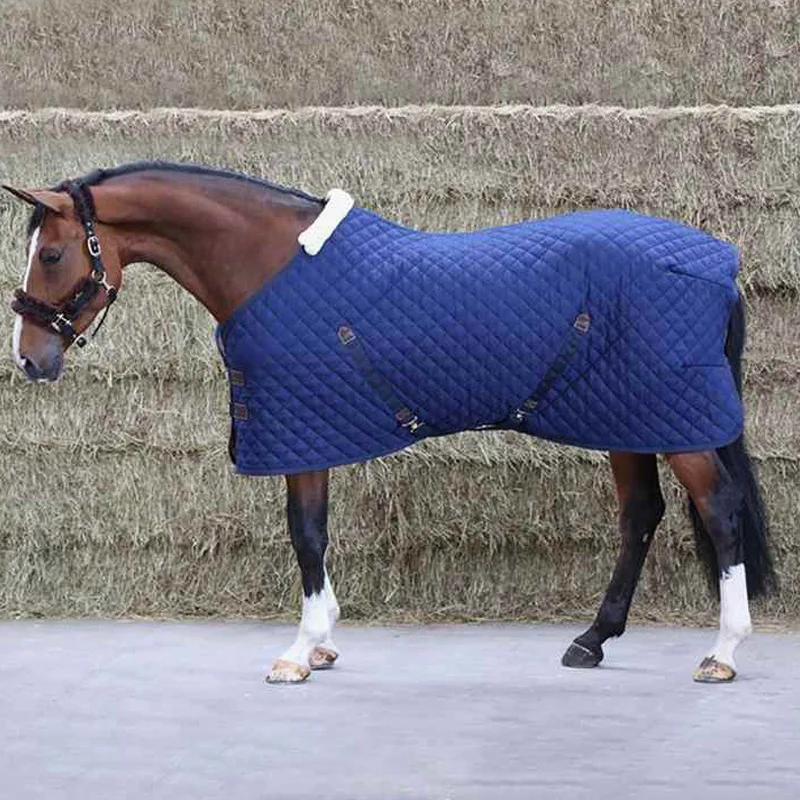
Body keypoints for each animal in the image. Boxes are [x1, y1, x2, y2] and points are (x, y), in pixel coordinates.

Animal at [4, 161, 775, 684]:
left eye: (52, 254)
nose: (29, 359)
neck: (273, 265)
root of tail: (718, 263)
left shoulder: (302, 428)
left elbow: (306, 535)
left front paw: (298, 652)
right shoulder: (309, 429)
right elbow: (314, 534)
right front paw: (321, 644)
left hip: (673, 422)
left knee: (719, 508)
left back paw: (722, 652)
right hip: (629, 418)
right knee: (641, 514)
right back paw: (592, 640)